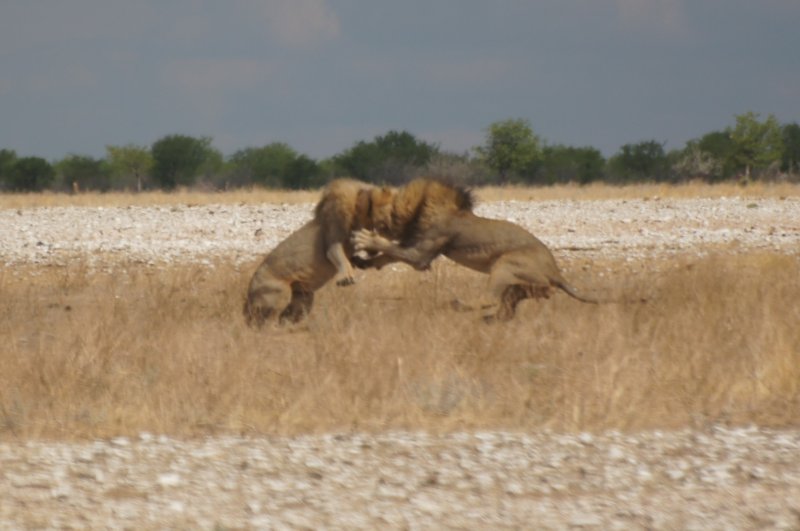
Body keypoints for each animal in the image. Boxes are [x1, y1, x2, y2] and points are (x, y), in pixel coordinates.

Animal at [354, 179, 600, 322]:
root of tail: (557, 273)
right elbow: (388, 255)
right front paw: (365, 262)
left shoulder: (422, 254)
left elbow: (391, 250)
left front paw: (365, 239)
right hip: (521, 287)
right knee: (506, 311)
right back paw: (485, 320)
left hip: (506, 263)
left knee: (490, 299)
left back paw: (460, 306)